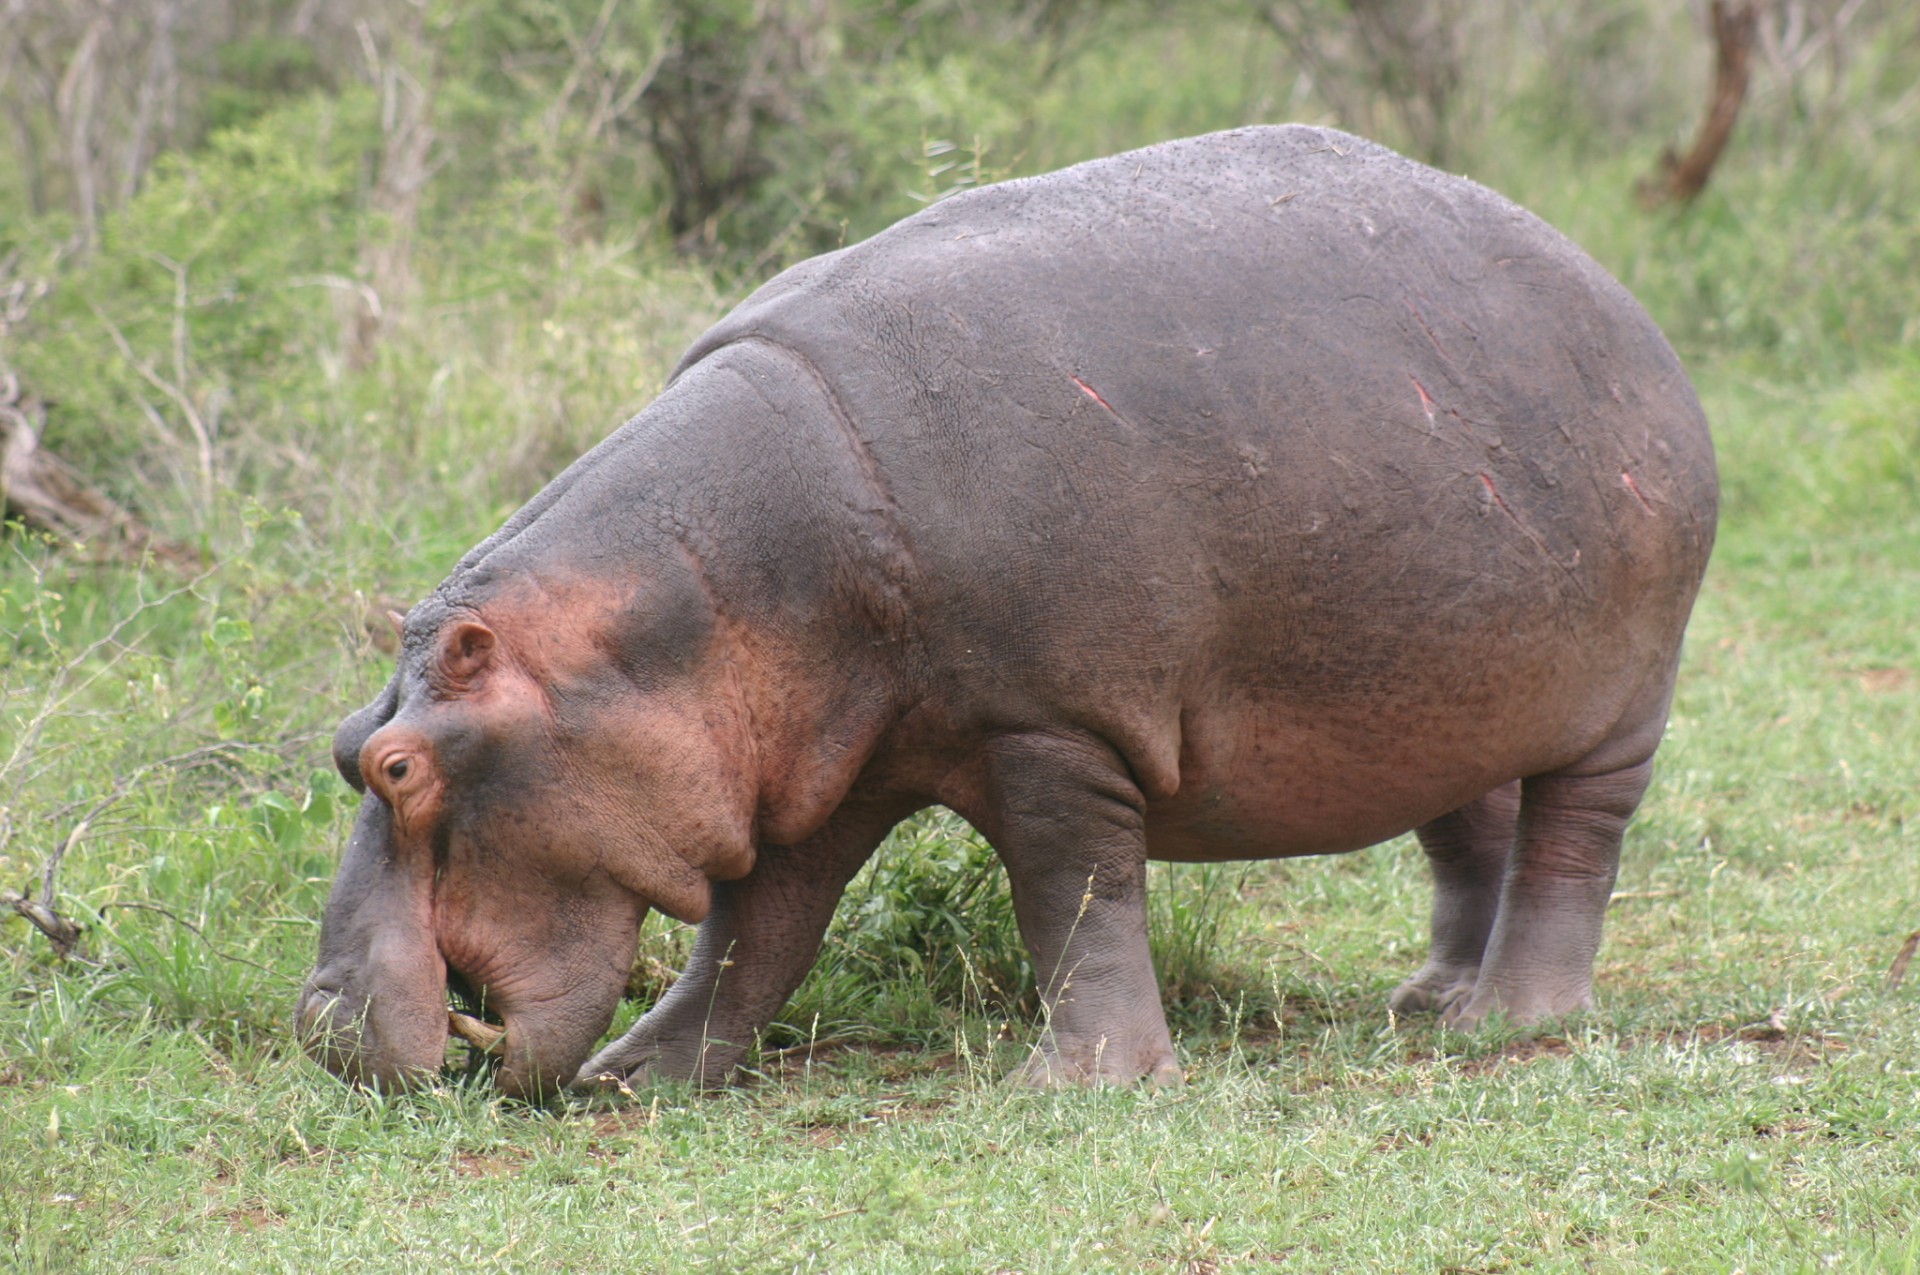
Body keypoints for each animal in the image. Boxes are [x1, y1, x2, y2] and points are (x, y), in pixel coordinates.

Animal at [295, 124, 1712, 1098]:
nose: (316, 1023)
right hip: (1447, 690)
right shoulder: (825, 767)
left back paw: (1514, 1021)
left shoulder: (1051, 732)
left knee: (1574, 845)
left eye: (402, 766)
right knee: (1472, 829)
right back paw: (1429, 997)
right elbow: (757, 937)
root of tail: (1630, 309)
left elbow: (1073, 901)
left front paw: (1083, 1086)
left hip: (1619, 703)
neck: (697, 598)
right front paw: (637, 1079)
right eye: (341, 748)